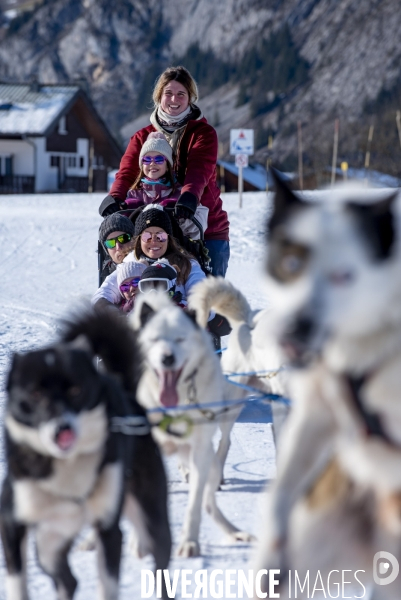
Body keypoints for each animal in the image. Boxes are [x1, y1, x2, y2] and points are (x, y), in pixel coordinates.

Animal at [0, 310, 170, 600]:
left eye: (76, 390)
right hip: (49, 542)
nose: (62, 429)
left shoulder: (109, 530)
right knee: (68, 581)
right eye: (35, 393)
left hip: (150, 517)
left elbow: (108, 584)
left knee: (160, 562)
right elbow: (17, 583)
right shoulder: (13, 525)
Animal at [130, 294, 252, 556]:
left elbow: (195, 504)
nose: (167, 358)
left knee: (208, 502)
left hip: (212, 465)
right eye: (154, 339)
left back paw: (235, 533)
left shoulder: (199, 454)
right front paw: (139, 541)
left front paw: (189, 542)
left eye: (180, 338)